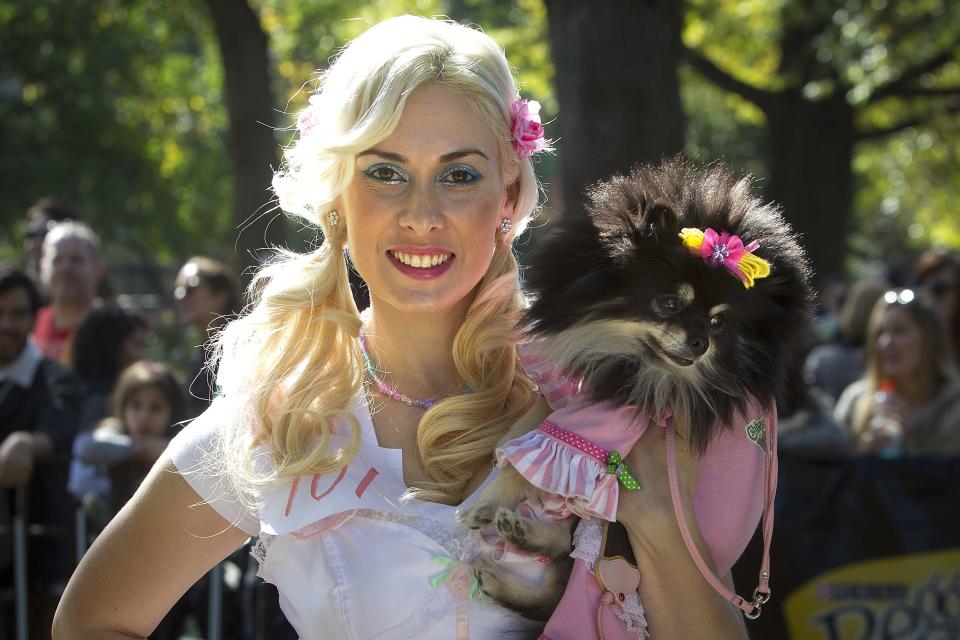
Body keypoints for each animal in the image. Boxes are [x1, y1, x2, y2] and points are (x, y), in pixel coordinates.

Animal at [458, 158, 808, 624]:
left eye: (719, 323)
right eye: (669, 303)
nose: (701, 342)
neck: (622, 354)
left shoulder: (610, 419)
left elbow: (535, 460)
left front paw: (483, 500)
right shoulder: (561, 389)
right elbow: (528, 429)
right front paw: (504, 449)